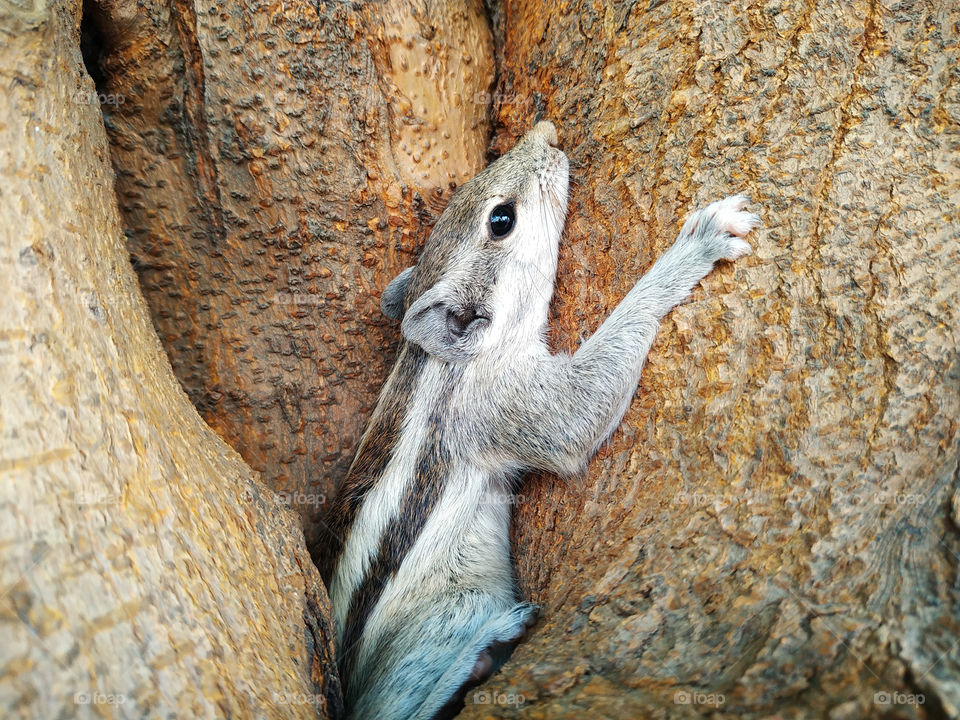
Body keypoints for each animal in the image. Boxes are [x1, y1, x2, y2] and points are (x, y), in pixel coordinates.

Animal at [323, 120, 759, 720]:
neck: (445, 361)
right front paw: (696, 246)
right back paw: (481, 651)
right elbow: (580, 410)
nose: (546, 132)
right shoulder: (506, 405)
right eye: (501, 220)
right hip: (441, 621)